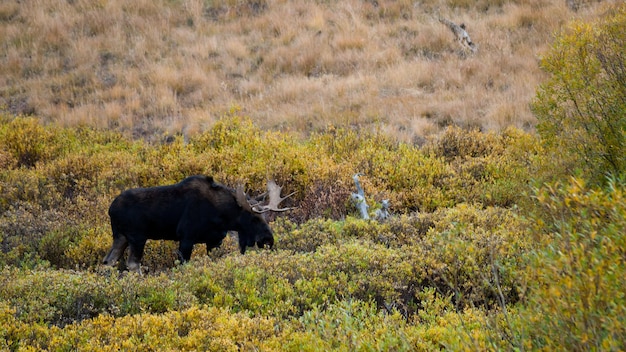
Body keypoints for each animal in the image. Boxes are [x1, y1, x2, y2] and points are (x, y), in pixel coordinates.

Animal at [102, 176, 292, 272]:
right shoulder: (186, 238)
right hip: (137, 238)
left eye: (266, 216)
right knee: (132, 264)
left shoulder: (214, 240)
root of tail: (111, 209)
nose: (268, 240)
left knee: (108, 261)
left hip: (121, 237)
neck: (222, 216)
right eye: (253, 218)